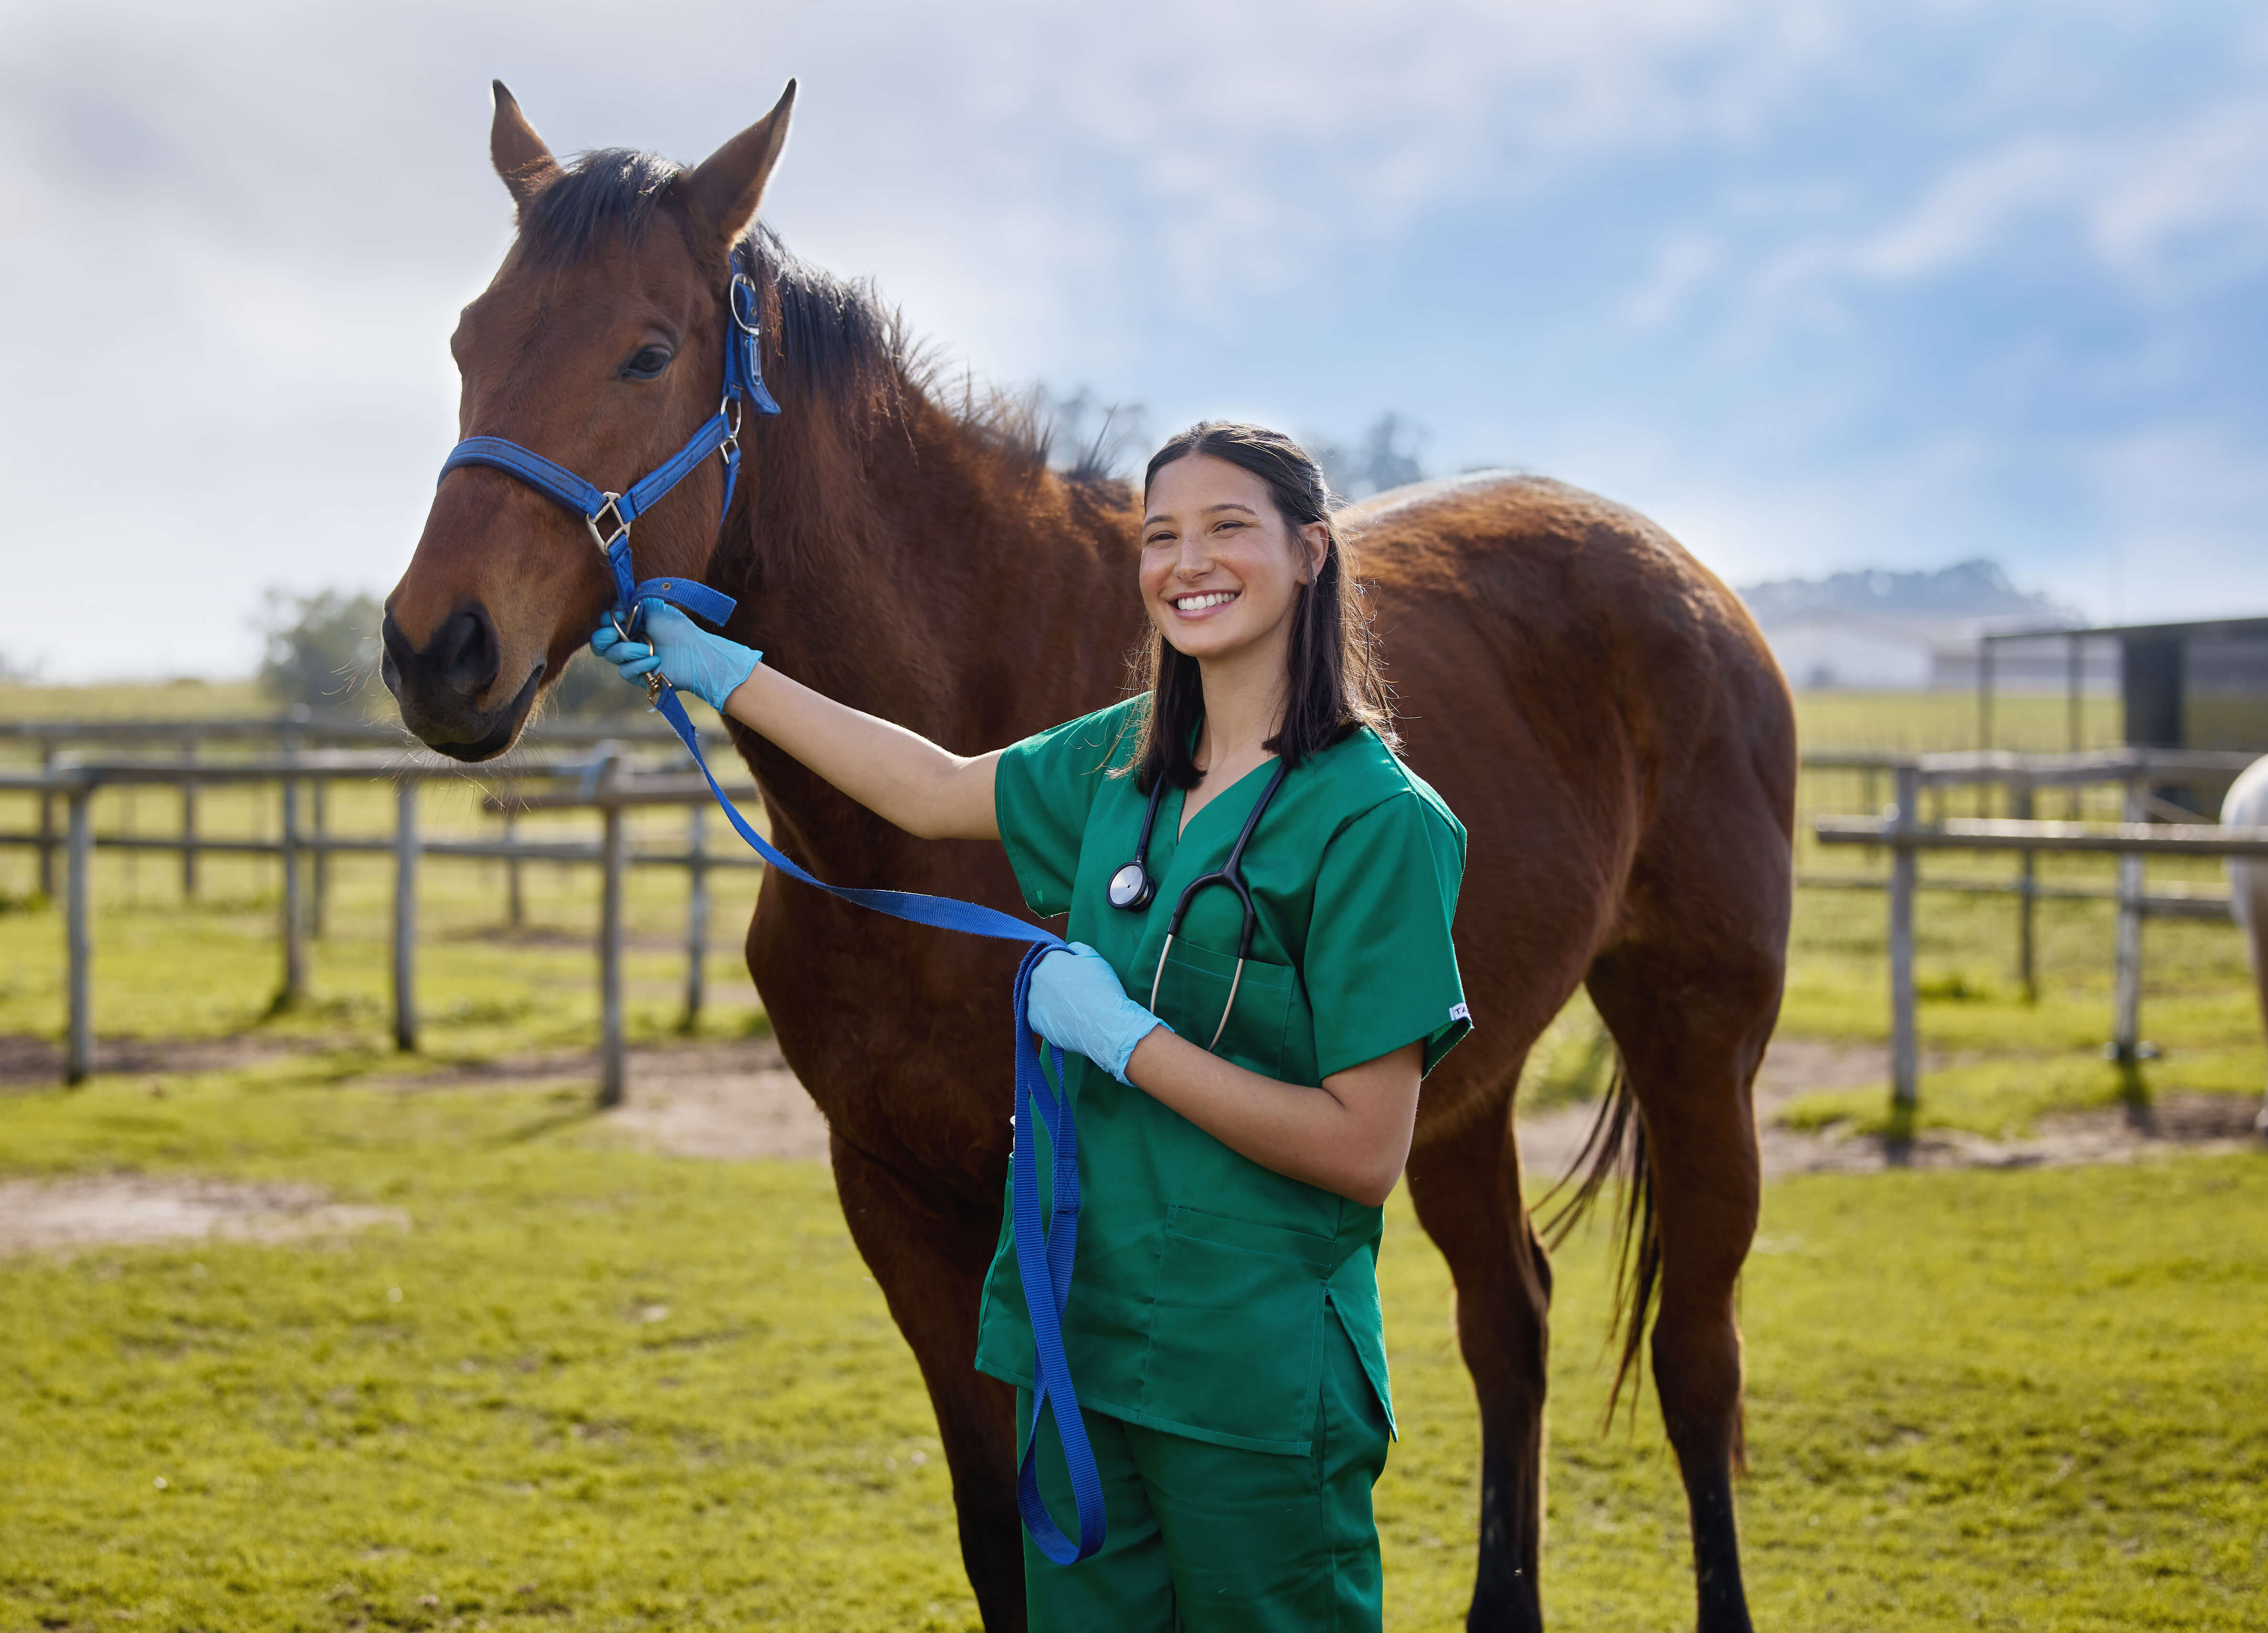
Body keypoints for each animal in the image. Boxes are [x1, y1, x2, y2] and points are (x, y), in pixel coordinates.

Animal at [381, 83, 1796, 1633]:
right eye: (464, 340)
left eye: (645, 350)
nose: (435, 649)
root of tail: (1689, 586)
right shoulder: (896, 1199)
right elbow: (999, 1531)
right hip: (1458, 1089)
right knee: (1511, 1321)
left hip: (1697, 1038)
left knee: (1697, 1360)